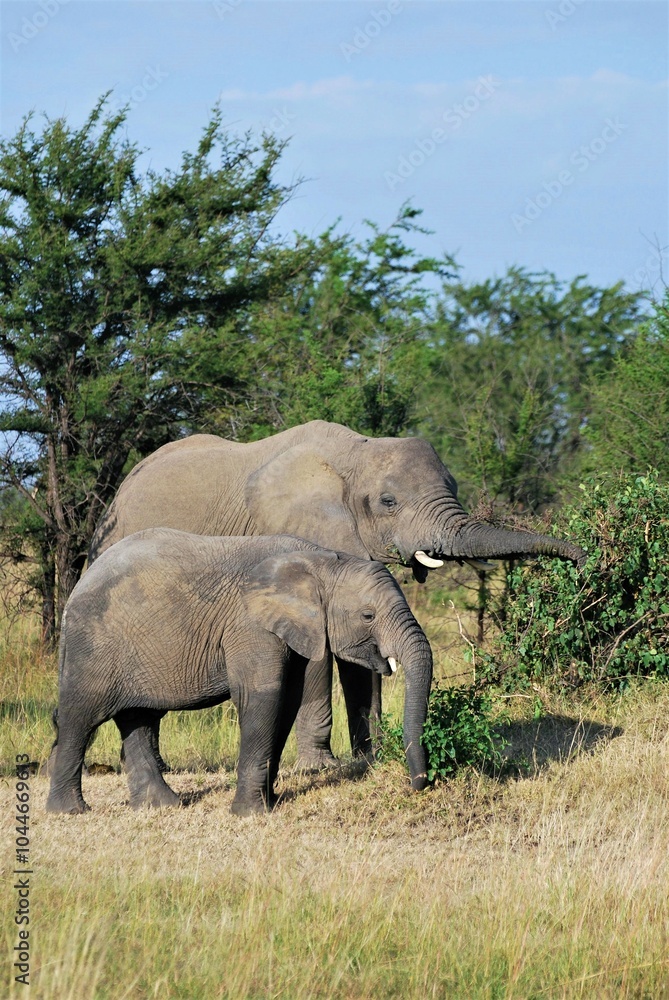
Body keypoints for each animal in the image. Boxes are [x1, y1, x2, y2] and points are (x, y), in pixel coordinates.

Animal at [46, 530, 433, 816]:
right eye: (368, 616)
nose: (420, 782)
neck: (321, 561)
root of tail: (79, 586)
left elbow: (287, 701)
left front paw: (271, 802)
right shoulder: (250, 626)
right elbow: (262, 696)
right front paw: (251, 813)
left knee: (138, 718)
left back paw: (162, 806)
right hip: (92, 646)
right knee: (81, 718)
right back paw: (69, 811)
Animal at [90, 420, 586, 765]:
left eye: (454, 487)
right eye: (388, 502)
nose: (583, 561)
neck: (355, 451)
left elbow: (361, 657)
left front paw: (372, 759)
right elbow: (318, 657)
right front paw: (320, 767)